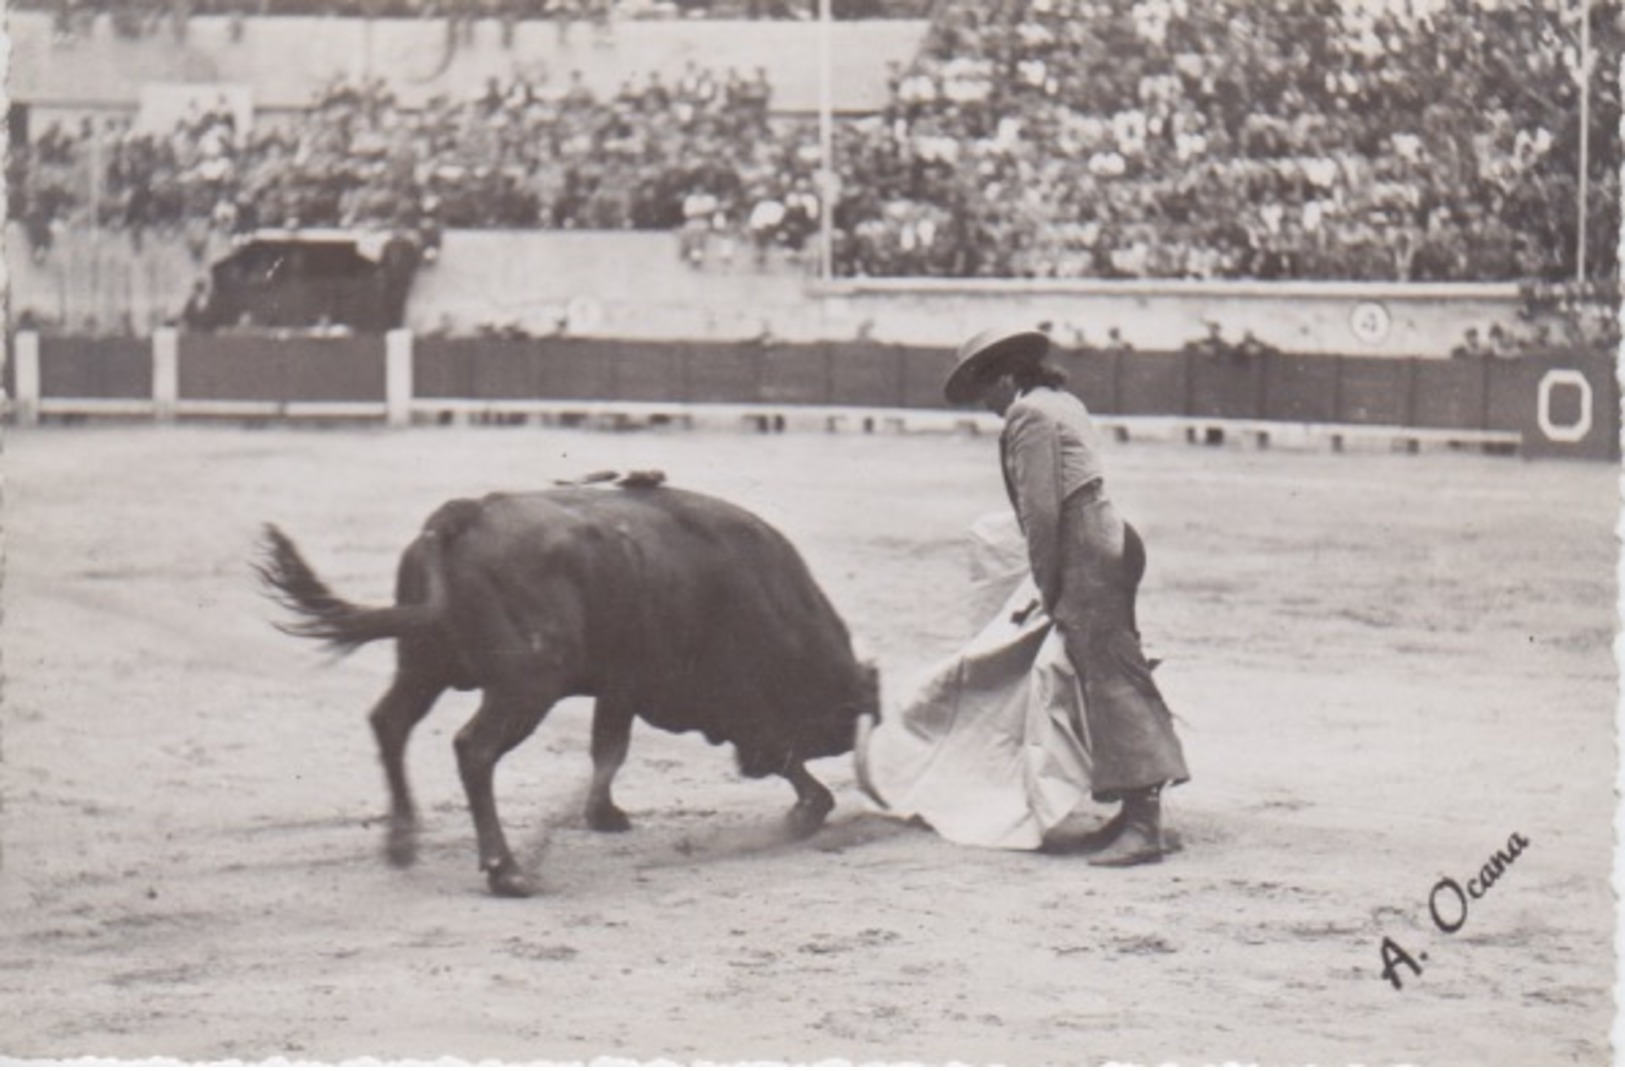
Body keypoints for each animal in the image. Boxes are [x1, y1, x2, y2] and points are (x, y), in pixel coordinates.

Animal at [258, 477, 884, 897]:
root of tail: (462, 517)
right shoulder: (683, 690)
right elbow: (632, 749)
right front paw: (806, 809)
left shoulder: (624, 687)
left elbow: (610, 748)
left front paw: (604, 814)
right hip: (526, 684)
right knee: (474, 749)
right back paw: (507, 870)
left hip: (423, 664)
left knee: (390, 722)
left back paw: (402, 841)